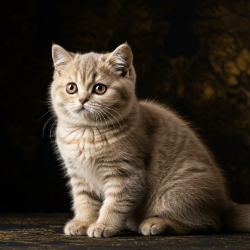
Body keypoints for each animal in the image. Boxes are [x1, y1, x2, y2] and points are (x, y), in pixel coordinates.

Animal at [49, 42, 250, 237]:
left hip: (176, 193)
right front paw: (83, 222)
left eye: (100, 88)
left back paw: (156, 223)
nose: (82, 100)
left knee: (209, 224)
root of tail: (225, 206)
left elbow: (114, 204)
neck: (87, 132)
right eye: (71, 88)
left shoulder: (127, 174)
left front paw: (104, 225)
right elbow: (84, 201)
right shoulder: (79, 175)